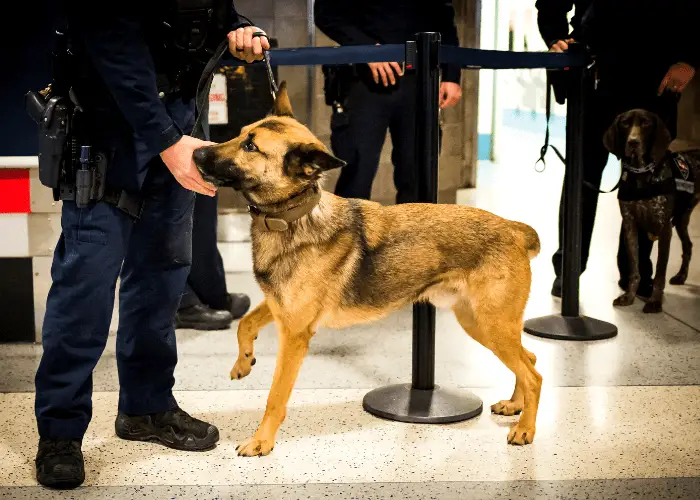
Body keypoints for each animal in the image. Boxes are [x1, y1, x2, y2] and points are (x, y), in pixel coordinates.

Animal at [194, 83, 544, 458]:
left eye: (251, 146)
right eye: (240, 133)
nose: (196, 153)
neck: (291, 217)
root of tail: (512, 228)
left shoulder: (295, 334)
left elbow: (276, 395)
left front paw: (262, 440)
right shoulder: (278, 308)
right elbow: (244, 324)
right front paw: (243, 362)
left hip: (491, 325)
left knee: (533, 374)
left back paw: (525, 429)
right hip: (479, 323)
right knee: (530, 358)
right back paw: (515, 406)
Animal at [600, 109, 700, 312]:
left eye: (646, 123)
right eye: (625, 123)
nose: (633, 142)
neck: (641, 173)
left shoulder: (664, 229)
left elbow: (660, 272)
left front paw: (655, 301)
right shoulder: (630, 226)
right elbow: (634, 270)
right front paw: (629, 297)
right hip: (681, 218)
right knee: (688, 245)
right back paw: (681, 276)